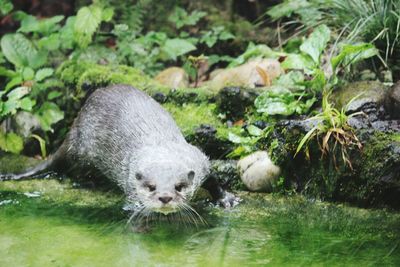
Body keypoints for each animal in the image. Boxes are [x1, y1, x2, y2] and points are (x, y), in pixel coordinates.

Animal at [0, 86, 234, 218]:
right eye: (151, 187)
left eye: (179, 186)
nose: (165, 197)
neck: (161, 147)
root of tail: (76, 126)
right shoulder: (129, 181)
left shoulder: (200, 160)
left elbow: (213, 179)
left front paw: (225, 199)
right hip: (82, 152)